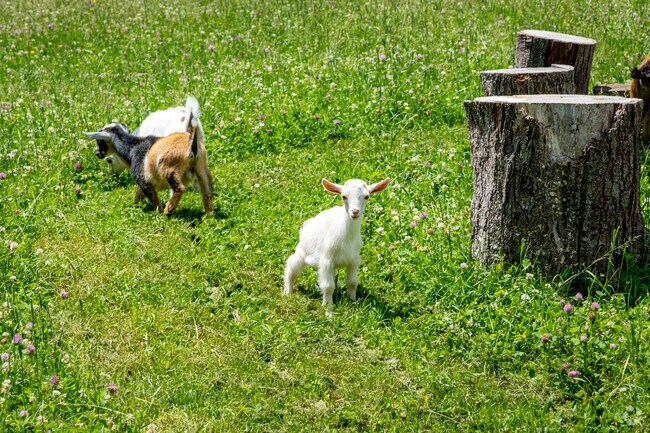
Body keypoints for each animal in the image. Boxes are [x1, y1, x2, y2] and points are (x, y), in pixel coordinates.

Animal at [84, 98, 214, 216]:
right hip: (201, 166)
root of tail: (191, 142)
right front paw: (135, 207)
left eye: (99, 141)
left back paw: (168, 210)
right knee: (207, 190)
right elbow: (138, 195)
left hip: (169, 168)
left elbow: (153, 199)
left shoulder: (143, 179)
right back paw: (209, 214)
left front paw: (159, 213)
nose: (97, 153)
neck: (132, 148)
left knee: (179, 188)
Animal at [283, 177, 390, 315]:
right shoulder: (326, 260)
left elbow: (352, 282)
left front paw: (353, 303)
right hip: (302, 252)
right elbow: (328, 286)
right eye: (344, 196)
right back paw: (288, 292)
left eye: (367, 196)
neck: (346, 238)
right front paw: (328, 311)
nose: (355, 212)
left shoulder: (354, 260)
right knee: (291, 267)